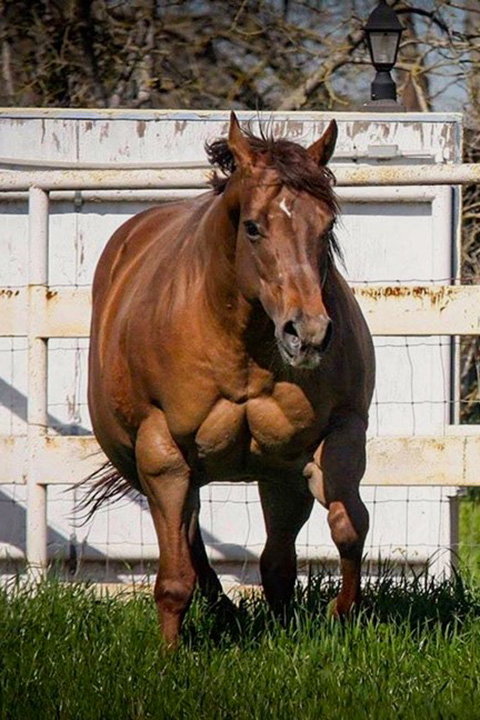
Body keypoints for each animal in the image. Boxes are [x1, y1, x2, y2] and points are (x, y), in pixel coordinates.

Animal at [88, 114, 376, 648]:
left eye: (326, 225)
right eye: (253, 227)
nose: (308, 334)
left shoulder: (331, 439)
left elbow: (348, 524)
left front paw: (341, 611)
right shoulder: (161, 454)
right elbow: (175, 575)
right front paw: (170, 654)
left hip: (274, 473)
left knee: (273, 559)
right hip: (143, 463)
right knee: (189, 540)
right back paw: (223, 609)